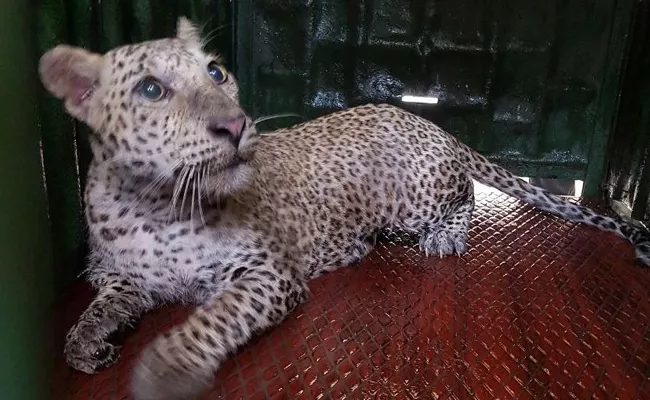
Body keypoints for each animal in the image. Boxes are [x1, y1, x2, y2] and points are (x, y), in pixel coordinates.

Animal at [40, 17, 648, 400]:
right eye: (150, 90)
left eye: (216, 72)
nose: (236, 125)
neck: (154, 205)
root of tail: (429, 123)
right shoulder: (121, 277)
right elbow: (99, 307)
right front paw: (85, 342)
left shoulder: (267, 274)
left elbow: (213, 319)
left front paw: (166, 366)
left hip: (418, 192)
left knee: (467, 194)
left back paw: (442, 236)